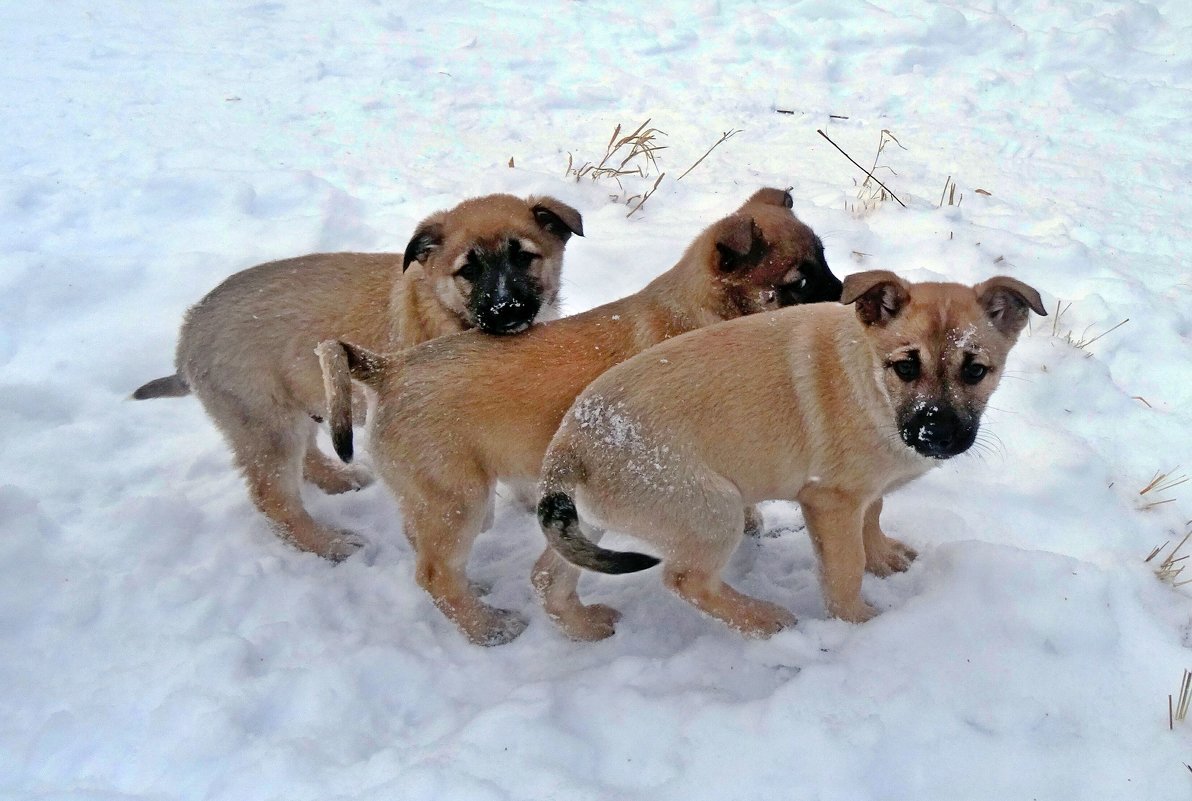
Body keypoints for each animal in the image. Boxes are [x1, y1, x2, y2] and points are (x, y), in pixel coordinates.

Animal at [130, 191, 581, 562]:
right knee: (273, 498)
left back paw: (338, 478)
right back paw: (327, 544)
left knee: (306, 455)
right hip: (266, 422)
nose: (506, 310)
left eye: (523, 256)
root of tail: (188, 333)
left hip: (298, 403)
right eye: (468, 270)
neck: (445, 310)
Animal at [317, 185, 839, 643]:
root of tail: (388, 369)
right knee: (435, 574)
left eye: (826, 261)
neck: (701, 311)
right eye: (799, 283)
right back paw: (488, 628)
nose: (847, 307)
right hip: (456, 500)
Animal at [536, 271, 1048, 643]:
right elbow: (844, 571)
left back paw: (583, 627)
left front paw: (883, 557)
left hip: (595, 520)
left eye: (975, 371)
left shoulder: (861, 492)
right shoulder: (831, 501)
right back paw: (764, 620)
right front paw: (860, 624)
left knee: (546, 575)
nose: (935, 435)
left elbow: (874, 515)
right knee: (686, 580)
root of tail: (571, 444)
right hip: (711, 509)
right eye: (906, 367)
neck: (869, 381)